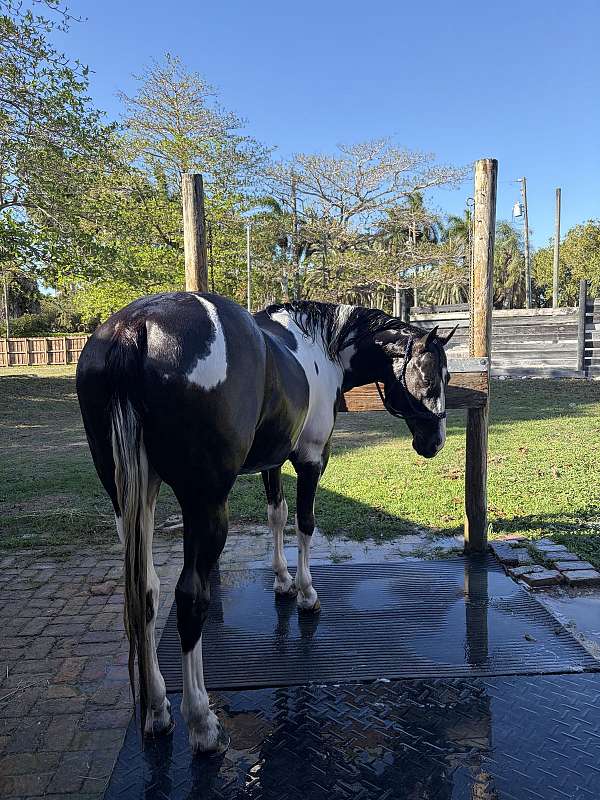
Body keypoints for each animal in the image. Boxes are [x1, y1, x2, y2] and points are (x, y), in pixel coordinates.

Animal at [76, 292, 455, 754]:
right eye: (432, 377)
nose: (434, 443)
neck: (319, 342)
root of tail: (137, 327)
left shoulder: (273, 460)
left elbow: (277, 515)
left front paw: (283, 582)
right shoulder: (312, 457)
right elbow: (305, 523)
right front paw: (306, 594)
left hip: (131, 499)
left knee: (146, 591)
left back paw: (157, 710)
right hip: (204, 505)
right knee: (189, 597)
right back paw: (201, 723)